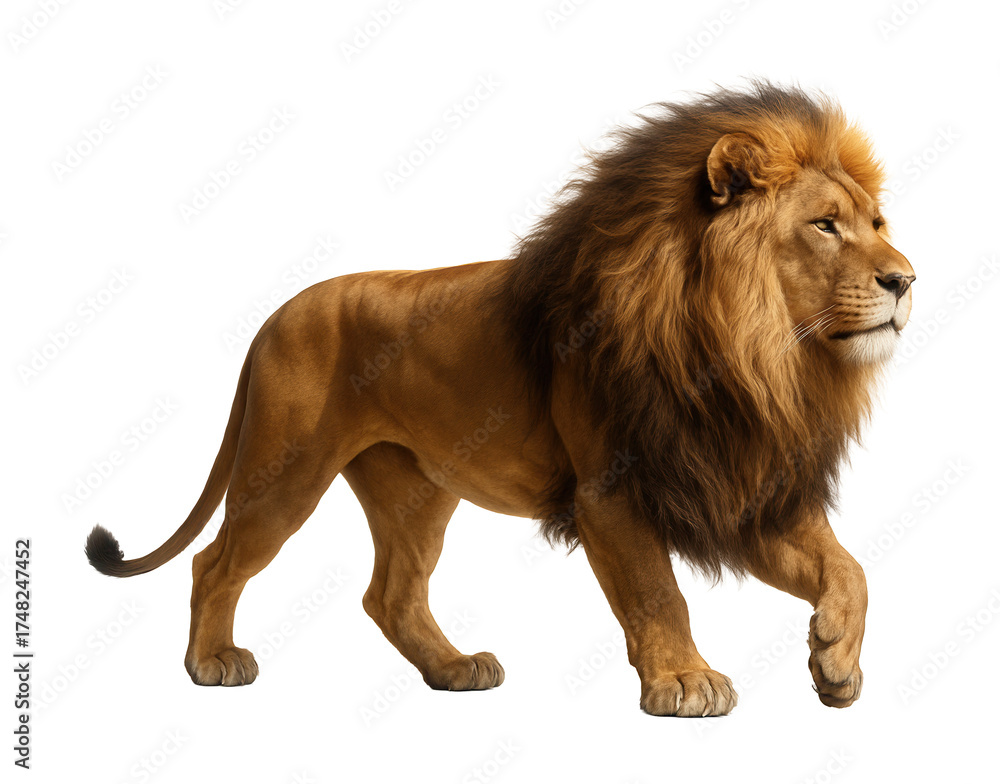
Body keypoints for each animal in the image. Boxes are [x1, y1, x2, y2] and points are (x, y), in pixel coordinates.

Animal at [86, 81, 914, 716]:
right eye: (824, 226)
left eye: (877, 224)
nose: (906, 279)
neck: (761, 357)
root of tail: (274, 315)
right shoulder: (611, 491)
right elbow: (657, 593)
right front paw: (685, 680)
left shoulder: (744, 484)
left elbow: (851, 570)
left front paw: (835, 663)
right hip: (283, 471)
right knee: (216, 561)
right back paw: (212, 661)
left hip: (415, 492)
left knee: (391, 594)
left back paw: (453, 670)